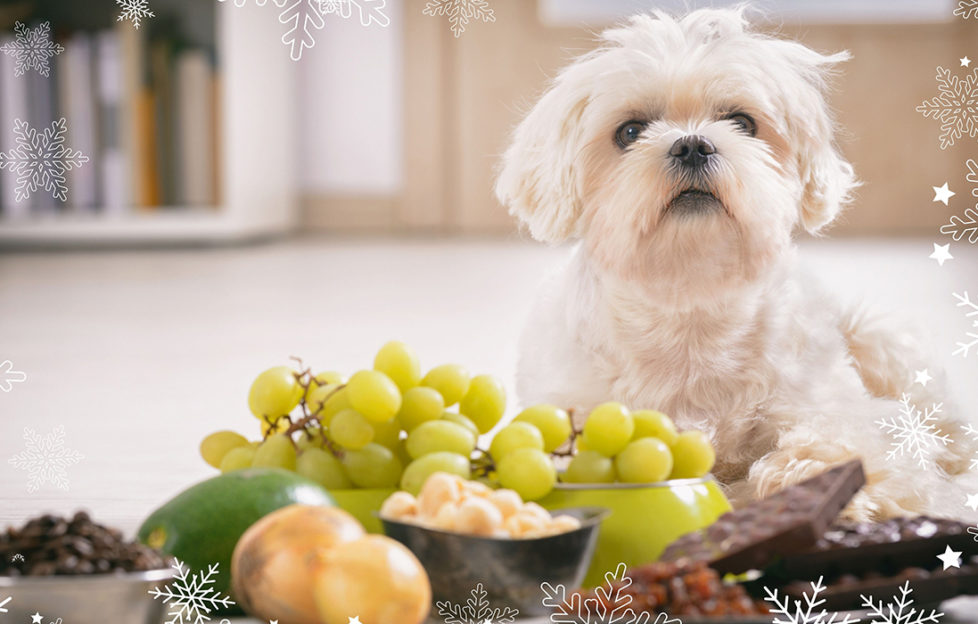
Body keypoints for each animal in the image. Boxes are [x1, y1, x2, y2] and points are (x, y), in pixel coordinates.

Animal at [496, 8, 976, 520]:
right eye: (629, 131)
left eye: (742, 122)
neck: (692, 299)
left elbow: (844, 445)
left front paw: (820, 485)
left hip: (877, 338)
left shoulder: (834, 408)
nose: (691, 145)